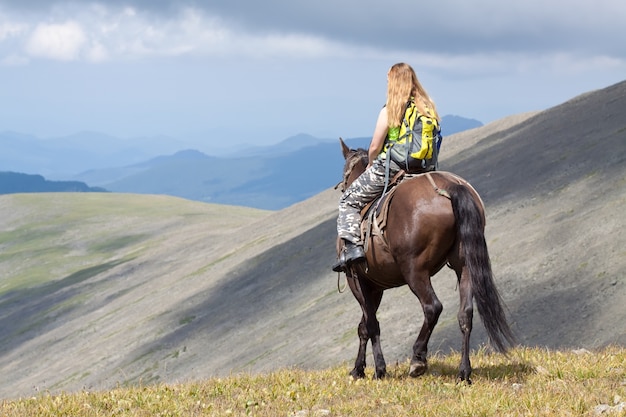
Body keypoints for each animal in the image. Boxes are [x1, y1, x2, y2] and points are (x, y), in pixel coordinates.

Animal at [334, 138, 516, 382]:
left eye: (345, 174)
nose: (344, 187)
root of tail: (449, 187)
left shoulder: (357, 279)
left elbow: (371, 324)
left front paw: (378, 369)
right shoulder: (375, 286)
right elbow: (364, 325)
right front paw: (359, 369)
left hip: (414, 270)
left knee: (432, 307)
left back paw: (418, 359)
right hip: (464, 264)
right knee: (465, 313)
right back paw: (463, 372)